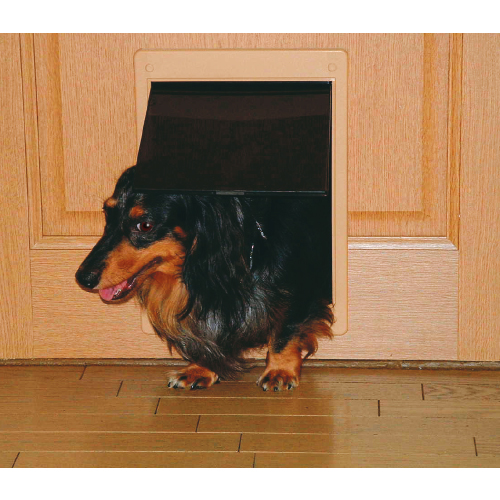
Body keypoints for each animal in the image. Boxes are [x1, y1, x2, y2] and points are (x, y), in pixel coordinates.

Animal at [75, 166, 333, 390]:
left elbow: (284, 333)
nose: (83, 278)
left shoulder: (300, 288)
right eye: (107, 214)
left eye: (145, 225)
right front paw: (200, 368)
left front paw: (280, 370)